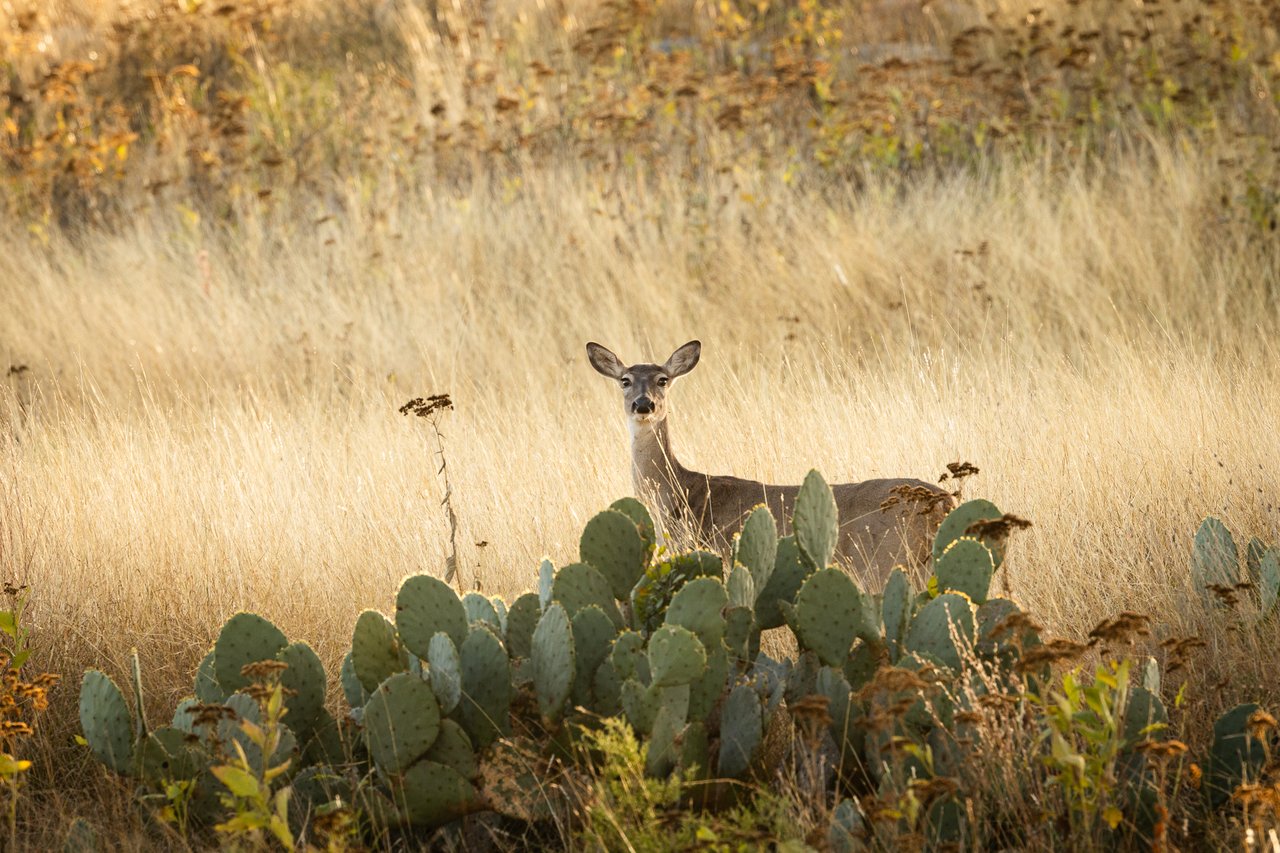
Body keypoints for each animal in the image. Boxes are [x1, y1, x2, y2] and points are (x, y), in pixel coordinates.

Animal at [586, 338, 957, 584]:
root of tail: (944, 502)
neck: (678, 492)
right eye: (625, 380)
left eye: (663, 379)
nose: (643, 404)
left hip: (888, 563)